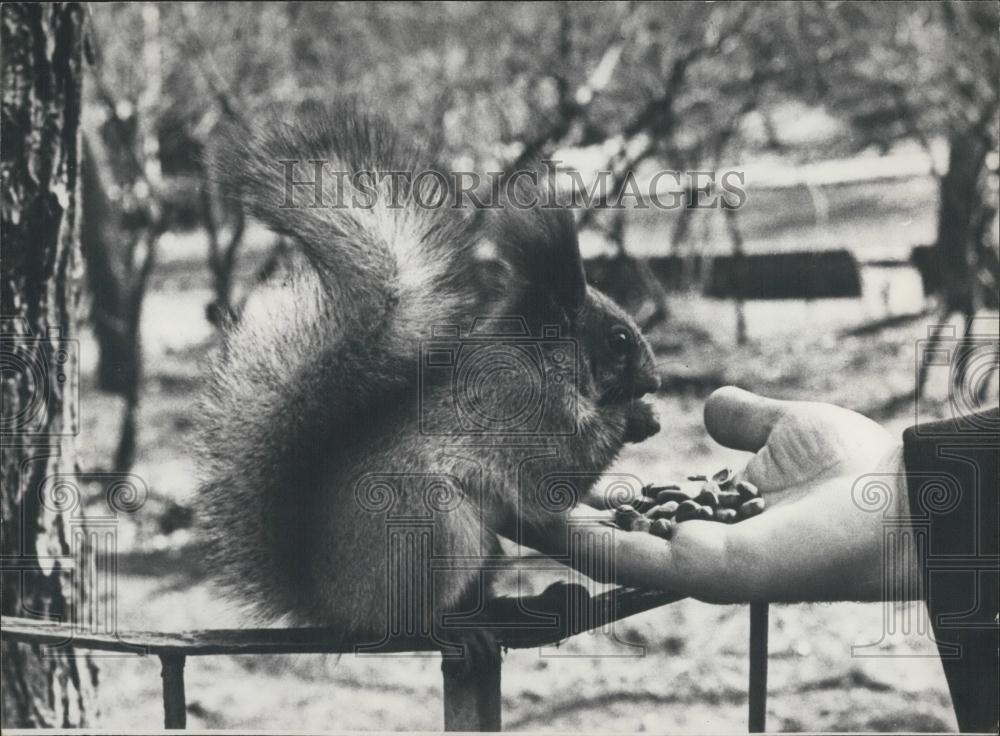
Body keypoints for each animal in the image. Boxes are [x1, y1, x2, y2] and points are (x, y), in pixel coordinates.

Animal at [197, 105, 664, 668]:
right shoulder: (525, 413)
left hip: (478, 547)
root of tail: (335, 607)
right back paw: (461, 628)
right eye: (619, 339)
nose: (657, 380)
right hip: (435, 527)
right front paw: (636, 417)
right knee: (413, 622)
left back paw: (525, 606)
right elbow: (562, 470)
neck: (545, 359)